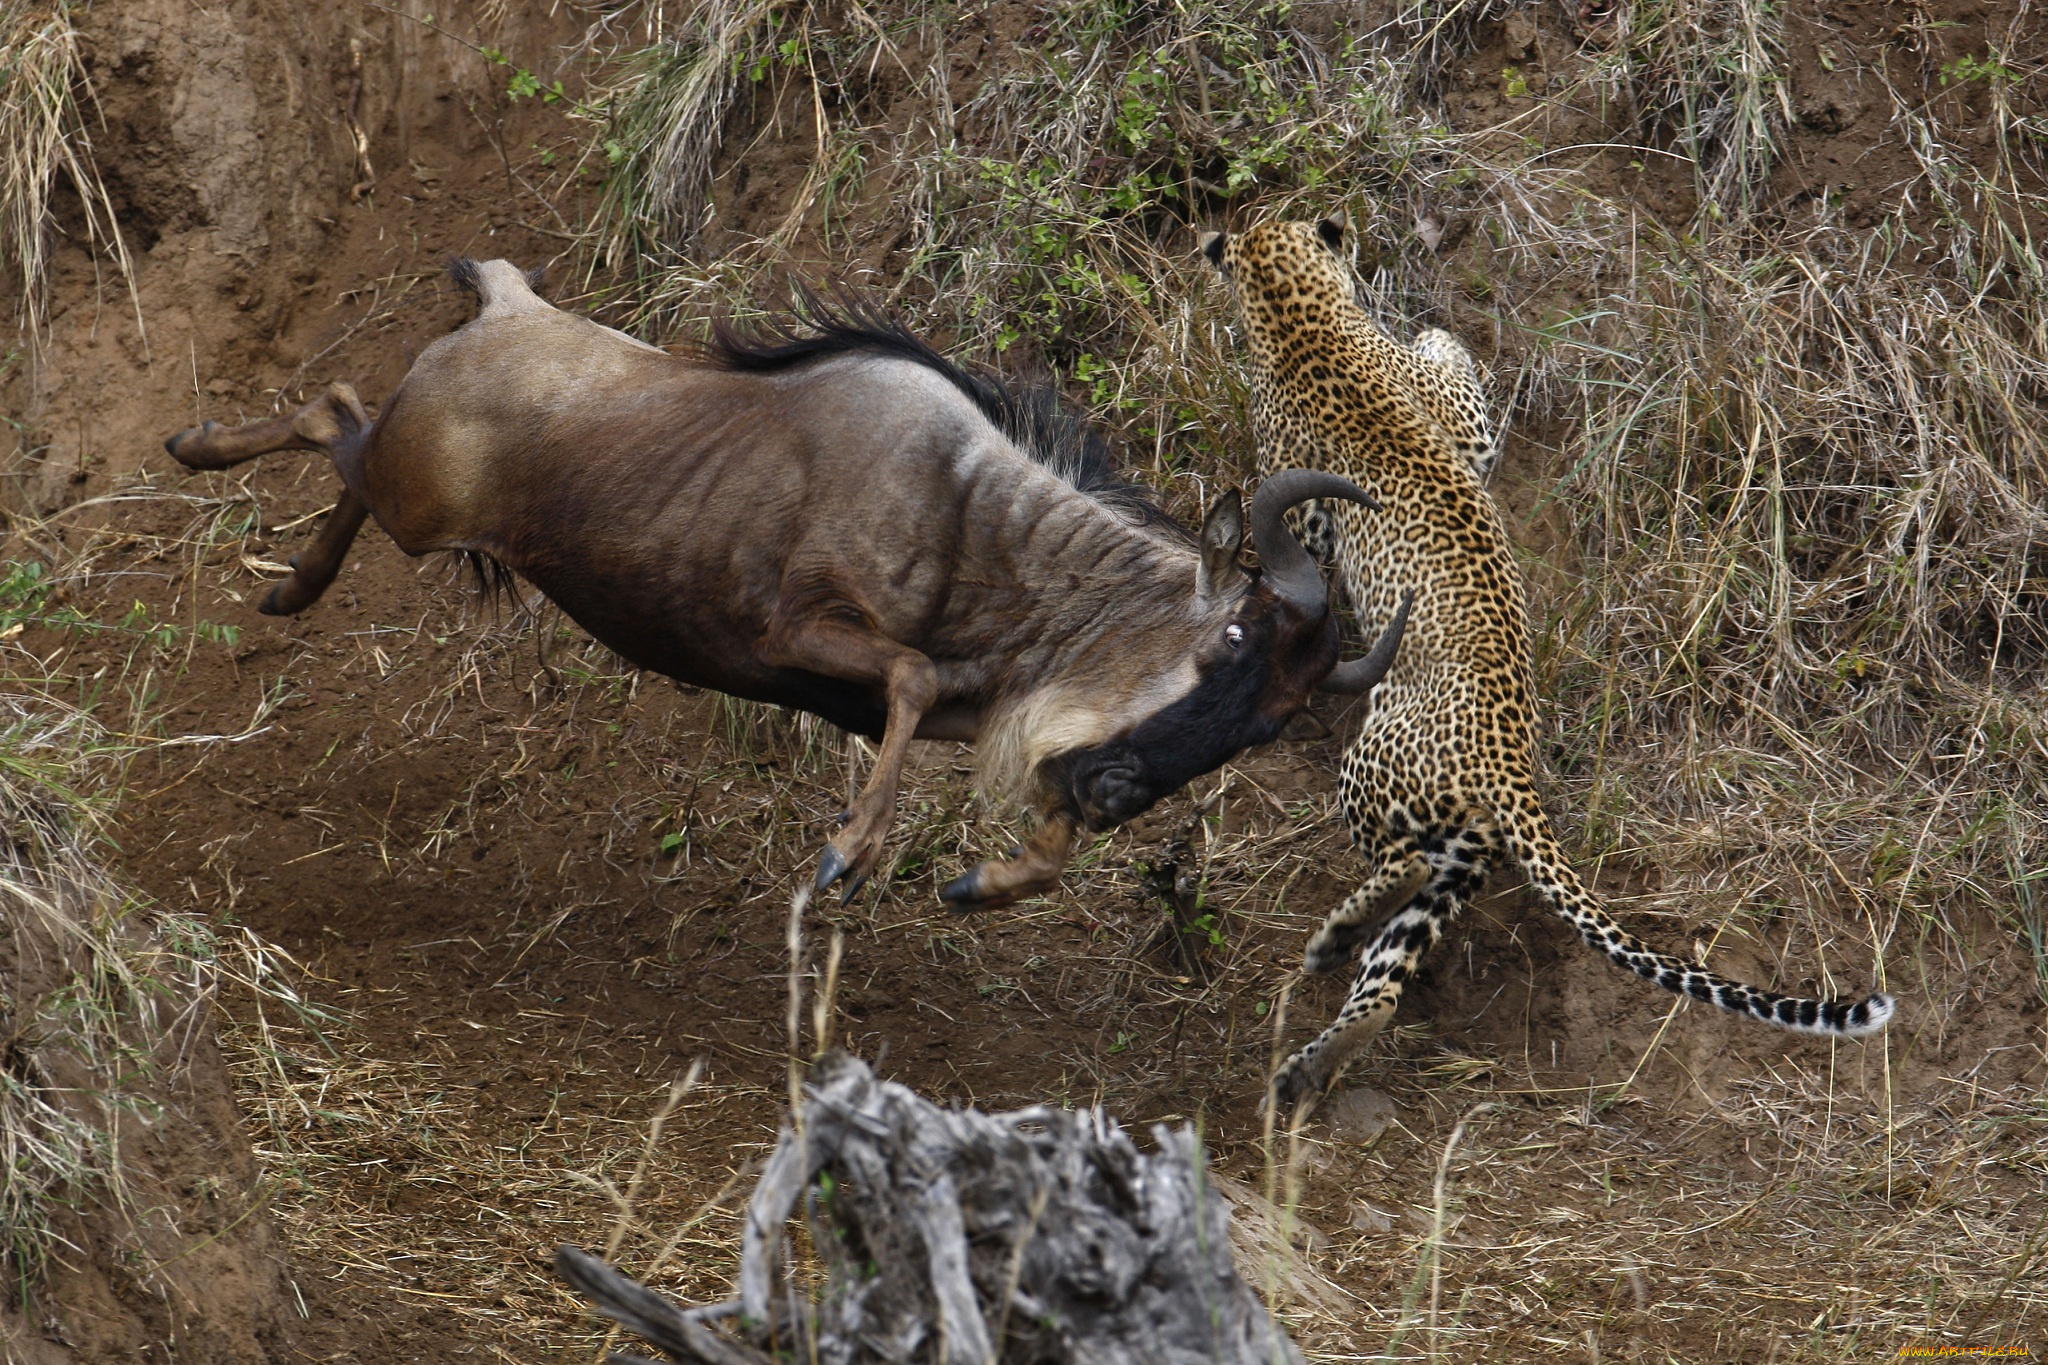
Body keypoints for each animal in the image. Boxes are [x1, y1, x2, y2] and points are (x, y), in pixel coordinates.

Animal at [1204, 215, 1892, 1113]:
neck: (1303, 318)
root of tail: (1511, 770)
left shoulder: (1317, 502)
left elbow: (1436, 355)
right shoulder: (1466, 435)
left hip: (1380, 776)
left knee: (1399, 865)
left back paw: (1329, 947)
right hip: (1460, 861)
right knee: (1386, 977)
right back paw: (1310, 1057)